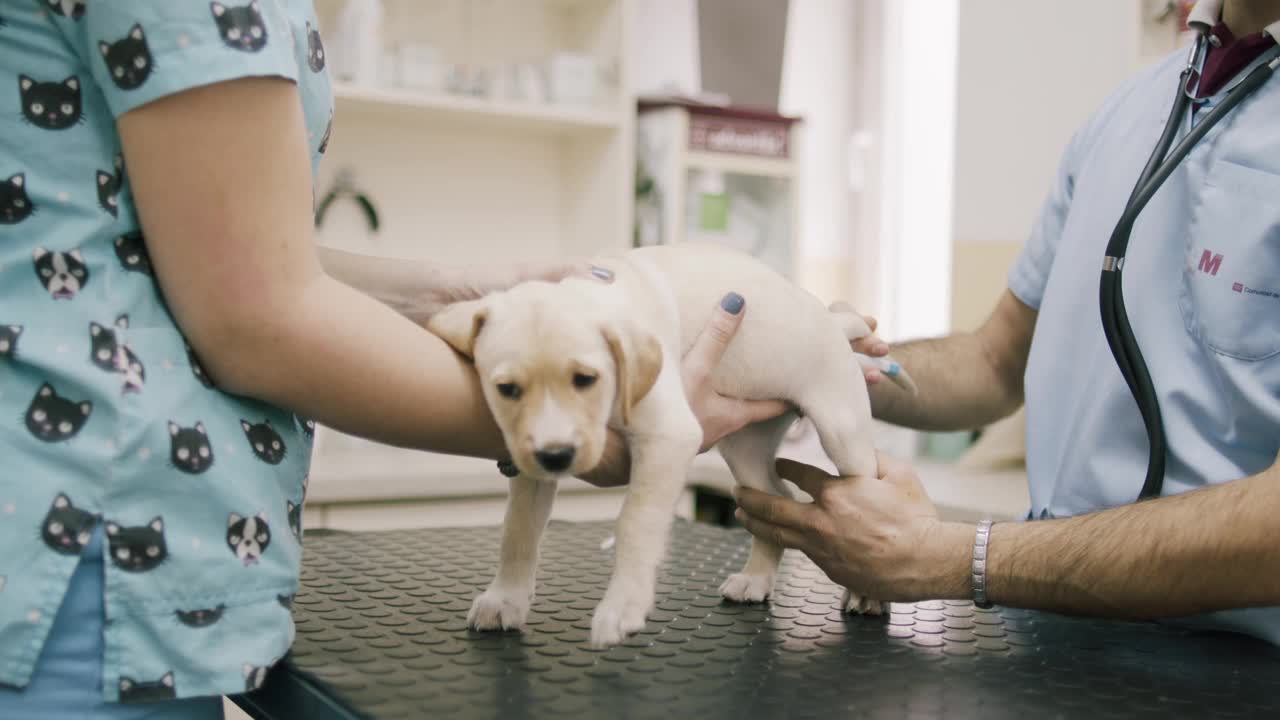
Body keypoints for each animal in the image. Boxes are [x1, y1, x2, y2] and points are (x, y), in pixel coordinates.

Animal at [430, 242, 911, 645]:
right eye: (507, 389)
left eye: (586, 379)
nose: (557, 457)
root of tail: (830, 317)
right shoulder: (529, 461)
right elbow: (518, 529)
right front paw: (505, 599)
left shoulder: (667, 436)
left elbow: (635, 521)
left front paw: (622, 606)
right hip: (745, 448)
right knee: (777, 497)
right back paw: (757, 578)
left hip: (842, 431)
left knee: (860, 495)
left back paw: (866, 593)